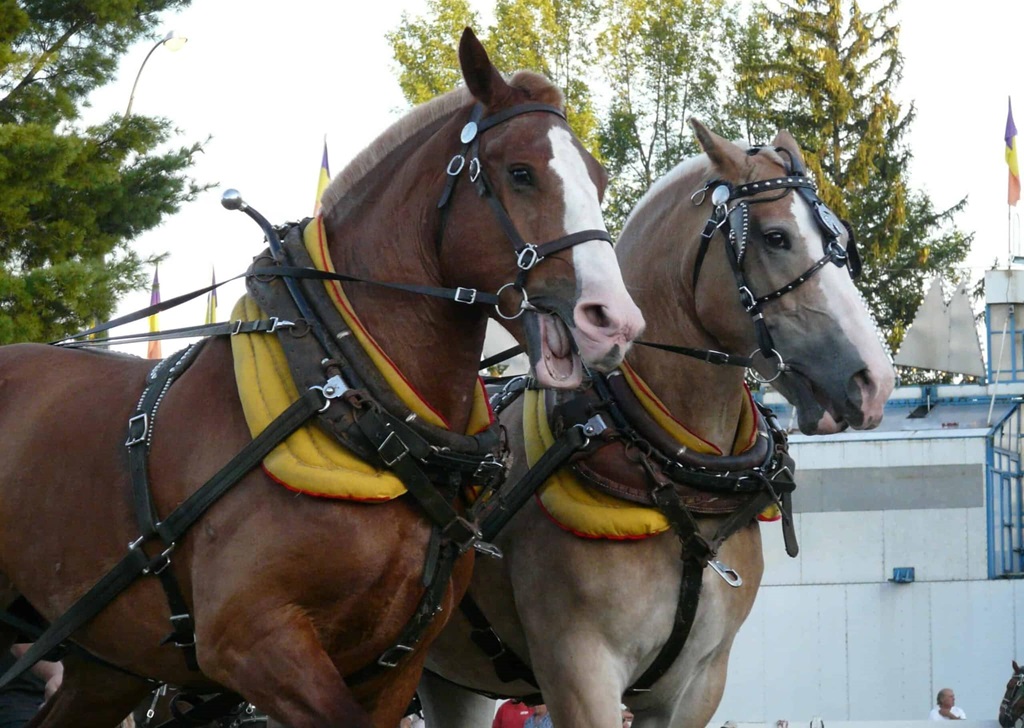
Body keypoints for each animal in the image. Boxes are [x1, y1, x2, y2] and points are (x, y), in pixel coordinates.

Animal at [0, 28, 644, 728]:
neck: (352, 399)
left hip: (108, 666)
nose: (615, 321)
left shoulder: (396, 664)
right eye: (521, 173)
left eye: (599, 178)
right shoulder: (250, 640)